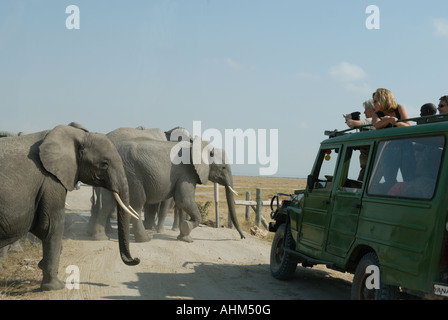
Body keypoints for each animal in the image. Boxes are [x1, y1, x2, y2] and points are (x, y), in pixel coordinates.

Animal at [0, 124, 139, 292]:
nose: (136, 259)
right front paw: (56, 286)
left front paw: (42, 265)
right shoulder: (51, 181)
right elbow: (50, 226)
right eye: (104, 164)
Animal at [91, 127, 245, 242]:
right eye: (223, 168)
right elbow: (184, 200)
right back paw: (145, 239)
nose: (242, 237)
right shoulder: (186, 173)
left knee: (108, 202)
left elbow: (182, 202)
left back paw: (100, 238)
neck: (200, 145)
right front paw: (186, 233)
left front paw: (183, 236)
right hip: (132, 174)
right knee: (137, 203)